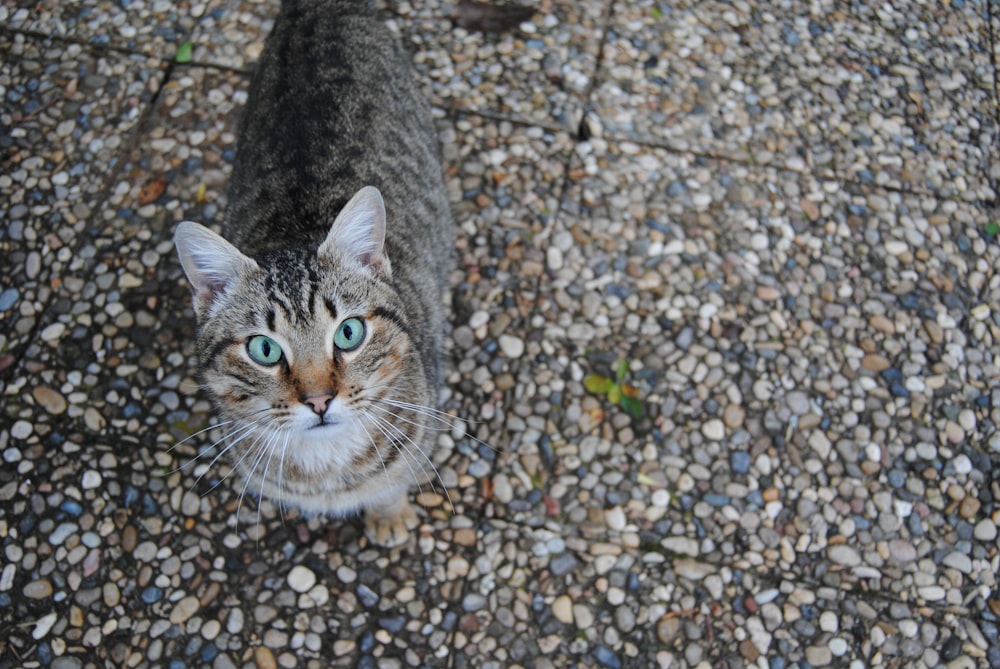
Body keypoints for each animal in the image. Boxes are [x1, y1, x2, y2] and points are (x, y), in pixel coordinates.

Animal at [173, 0, 454, 544]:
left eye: (348, 333)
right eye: (264, 349)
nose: (320, 401)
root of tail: (316, 8)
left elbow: (393, 482)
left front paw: (390, 515)